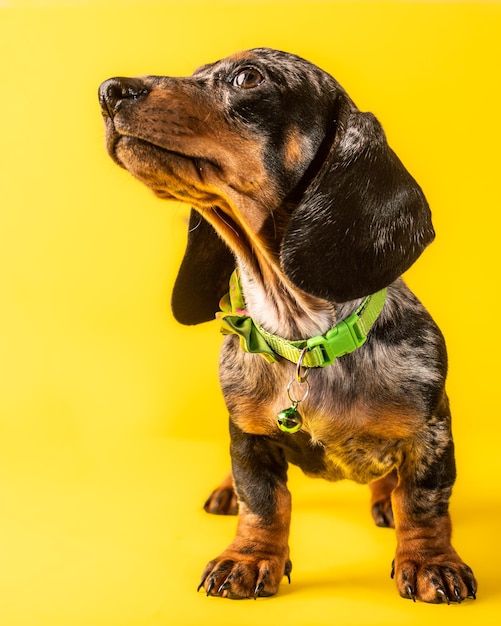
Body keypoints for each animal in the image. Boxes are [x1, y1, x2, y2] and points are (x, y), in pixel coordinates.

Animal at [98, 46, 476, 604]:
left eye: (248, 77)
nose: (108, 91)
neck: (304, 337)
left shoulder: (431, 432)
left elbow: (424, 502)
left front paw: (431, 561)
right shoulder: (248, 436)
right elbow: (263, 502)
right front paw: (250, 558)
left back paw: (384, 496)